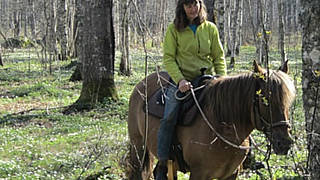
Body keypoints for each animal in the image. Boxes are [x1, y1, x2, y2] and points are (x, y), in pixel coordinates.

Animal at [126, 61, 296, 179]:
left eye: (289, 101)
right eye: (265, 101)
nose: (284, 143)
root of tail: (141, 84)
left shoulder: (231, 174)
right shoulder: (198, 174)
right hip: (138, 147)